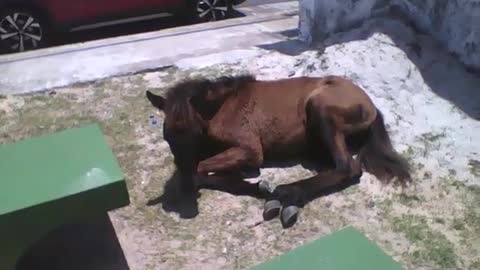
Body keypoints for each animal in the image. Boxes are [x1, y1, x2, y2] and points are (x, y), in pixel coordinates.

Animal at [145, 74, 408, 228]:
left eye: (196, 133)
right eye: (167, 137)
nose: (187, 206)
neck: (221, 107)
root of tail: (371, 105)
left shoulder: (249, 149)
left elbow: (198, 170)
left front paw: (260, 187)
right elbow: (196, 170)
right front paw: (256, 184)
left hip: (321, 109)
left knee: (346, 167)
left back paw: (287, 194)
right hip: (317, 142)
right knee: (335, 167)